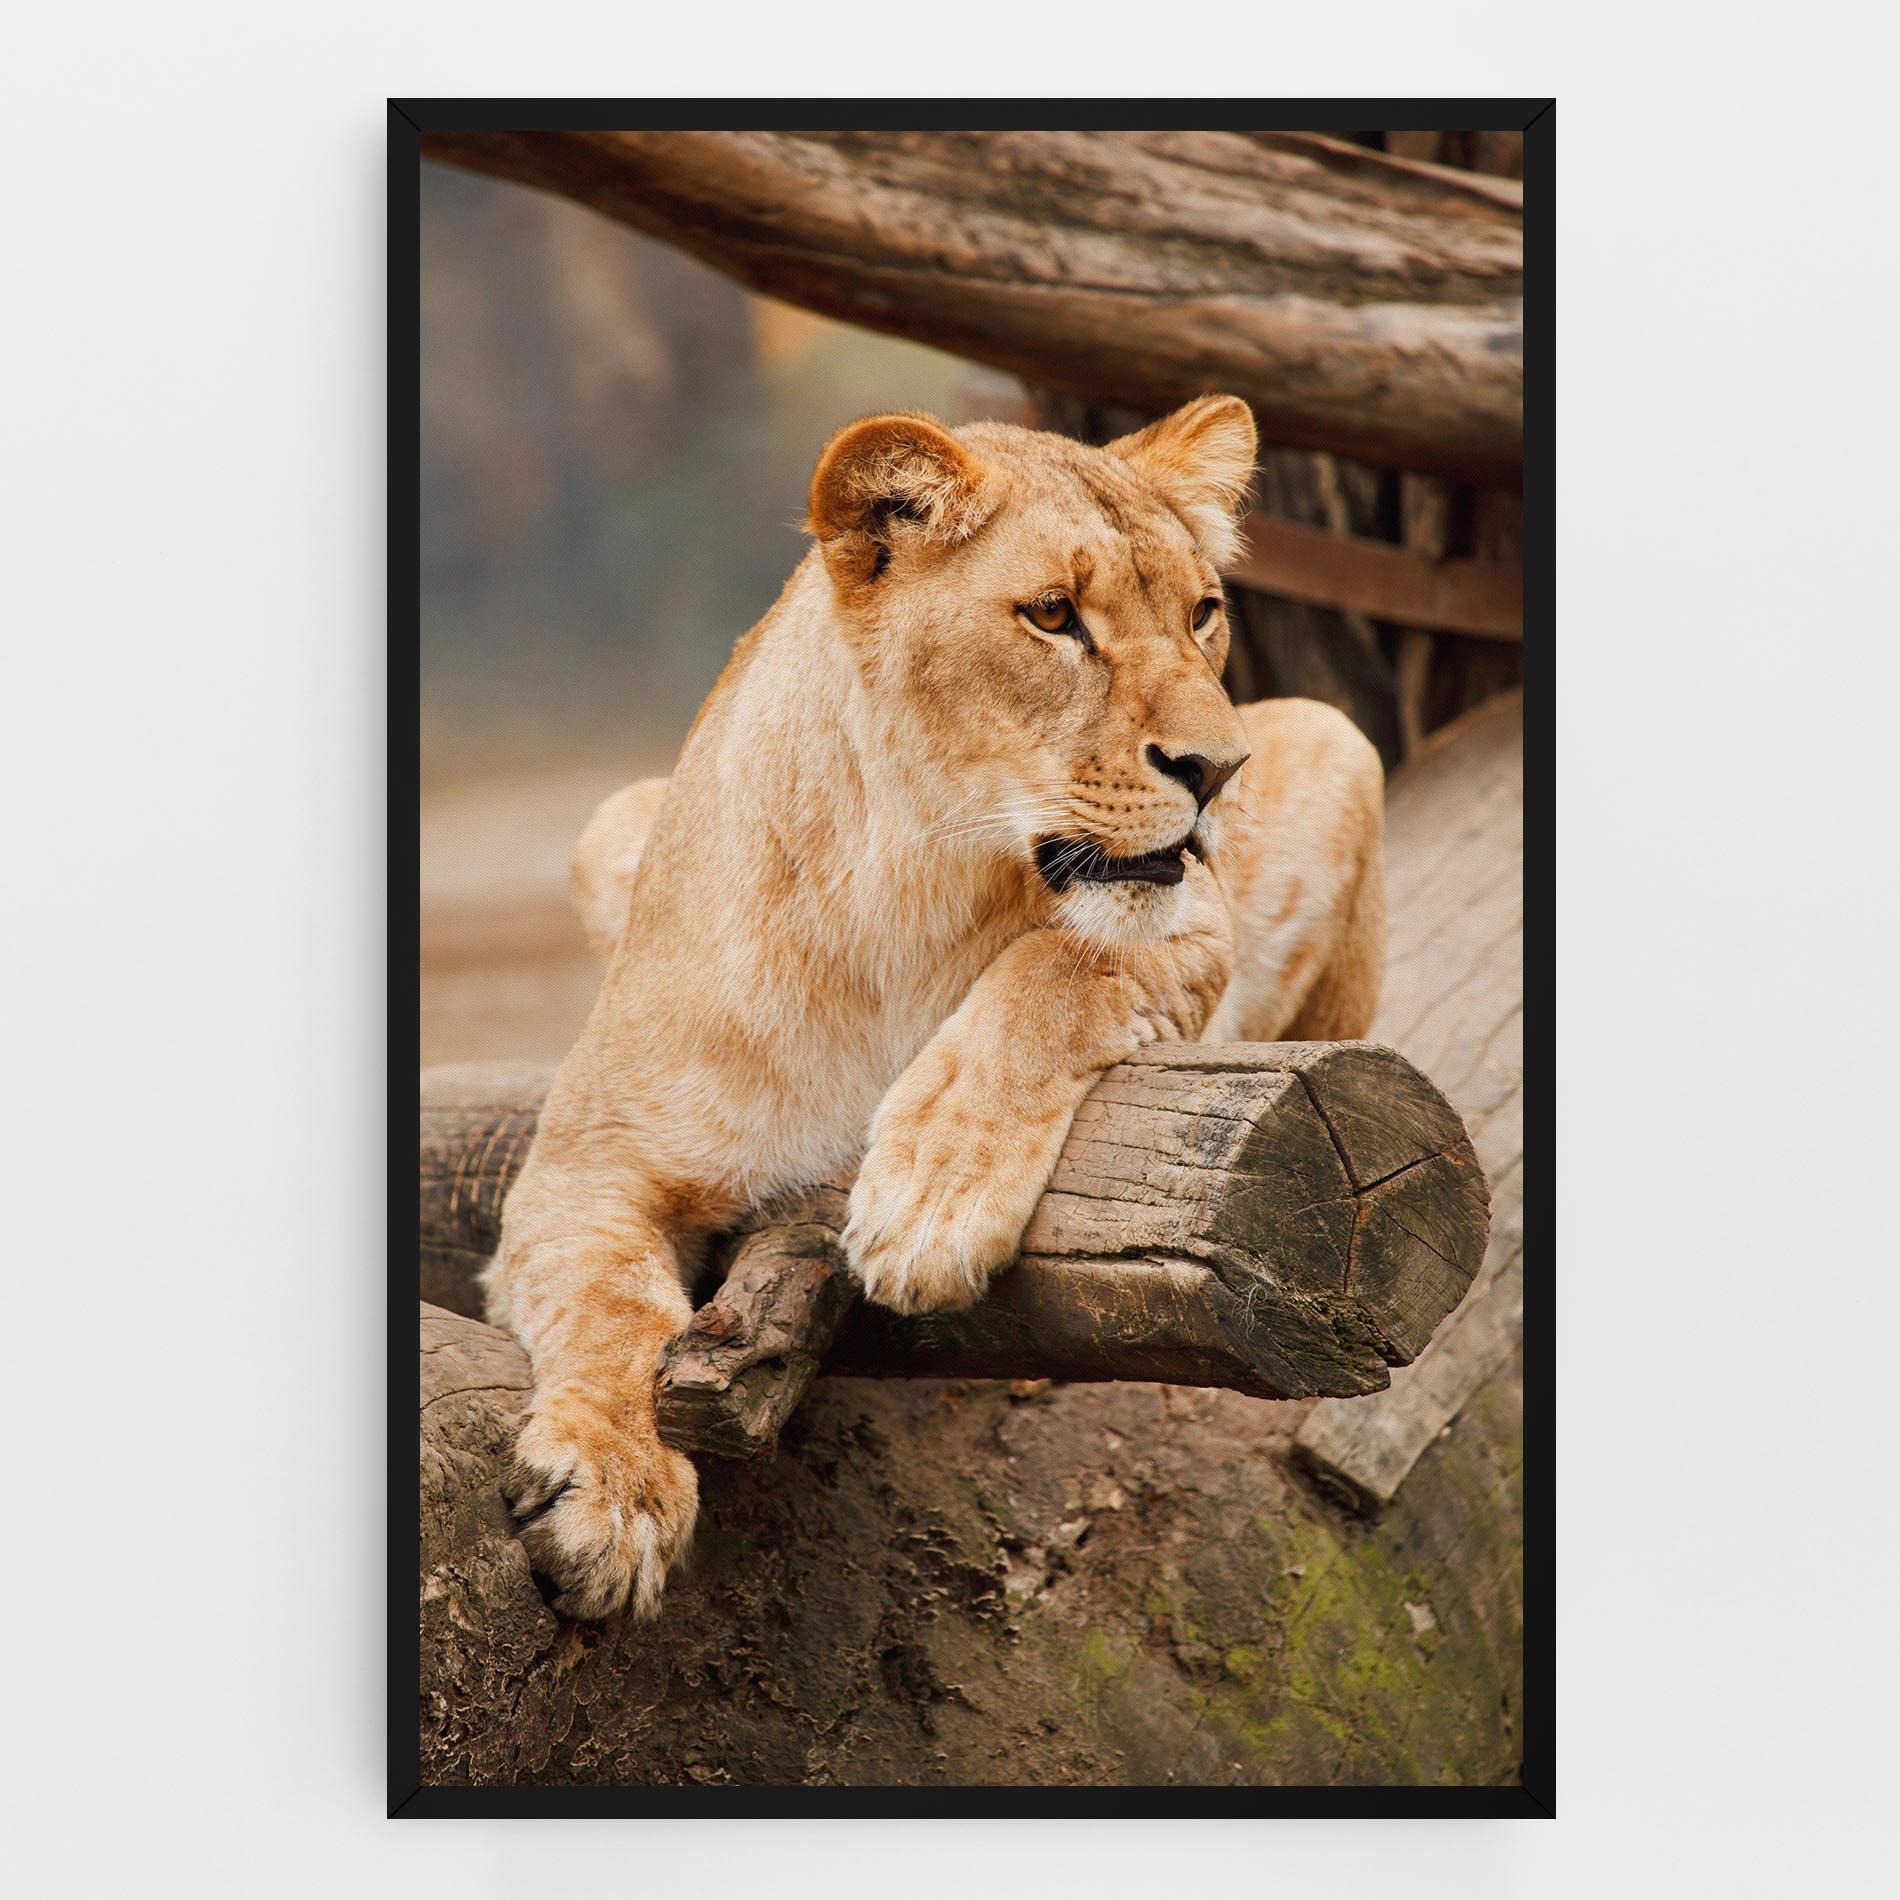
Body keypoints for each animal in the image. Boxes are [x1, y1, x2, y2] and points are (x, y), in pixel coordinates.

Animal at [482, 396, 1385, 1620]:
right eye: (1053, 616)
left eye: (1203, 614)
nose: (1220, 769)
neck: (902, 891)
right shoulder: (585, 1162)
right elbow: (607, 1303)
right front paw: (613, 1492)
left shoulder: (1193, 921)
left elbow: (1058, 969)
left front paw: (928, 1203)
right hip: (610, 820)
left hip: (1341, 741)